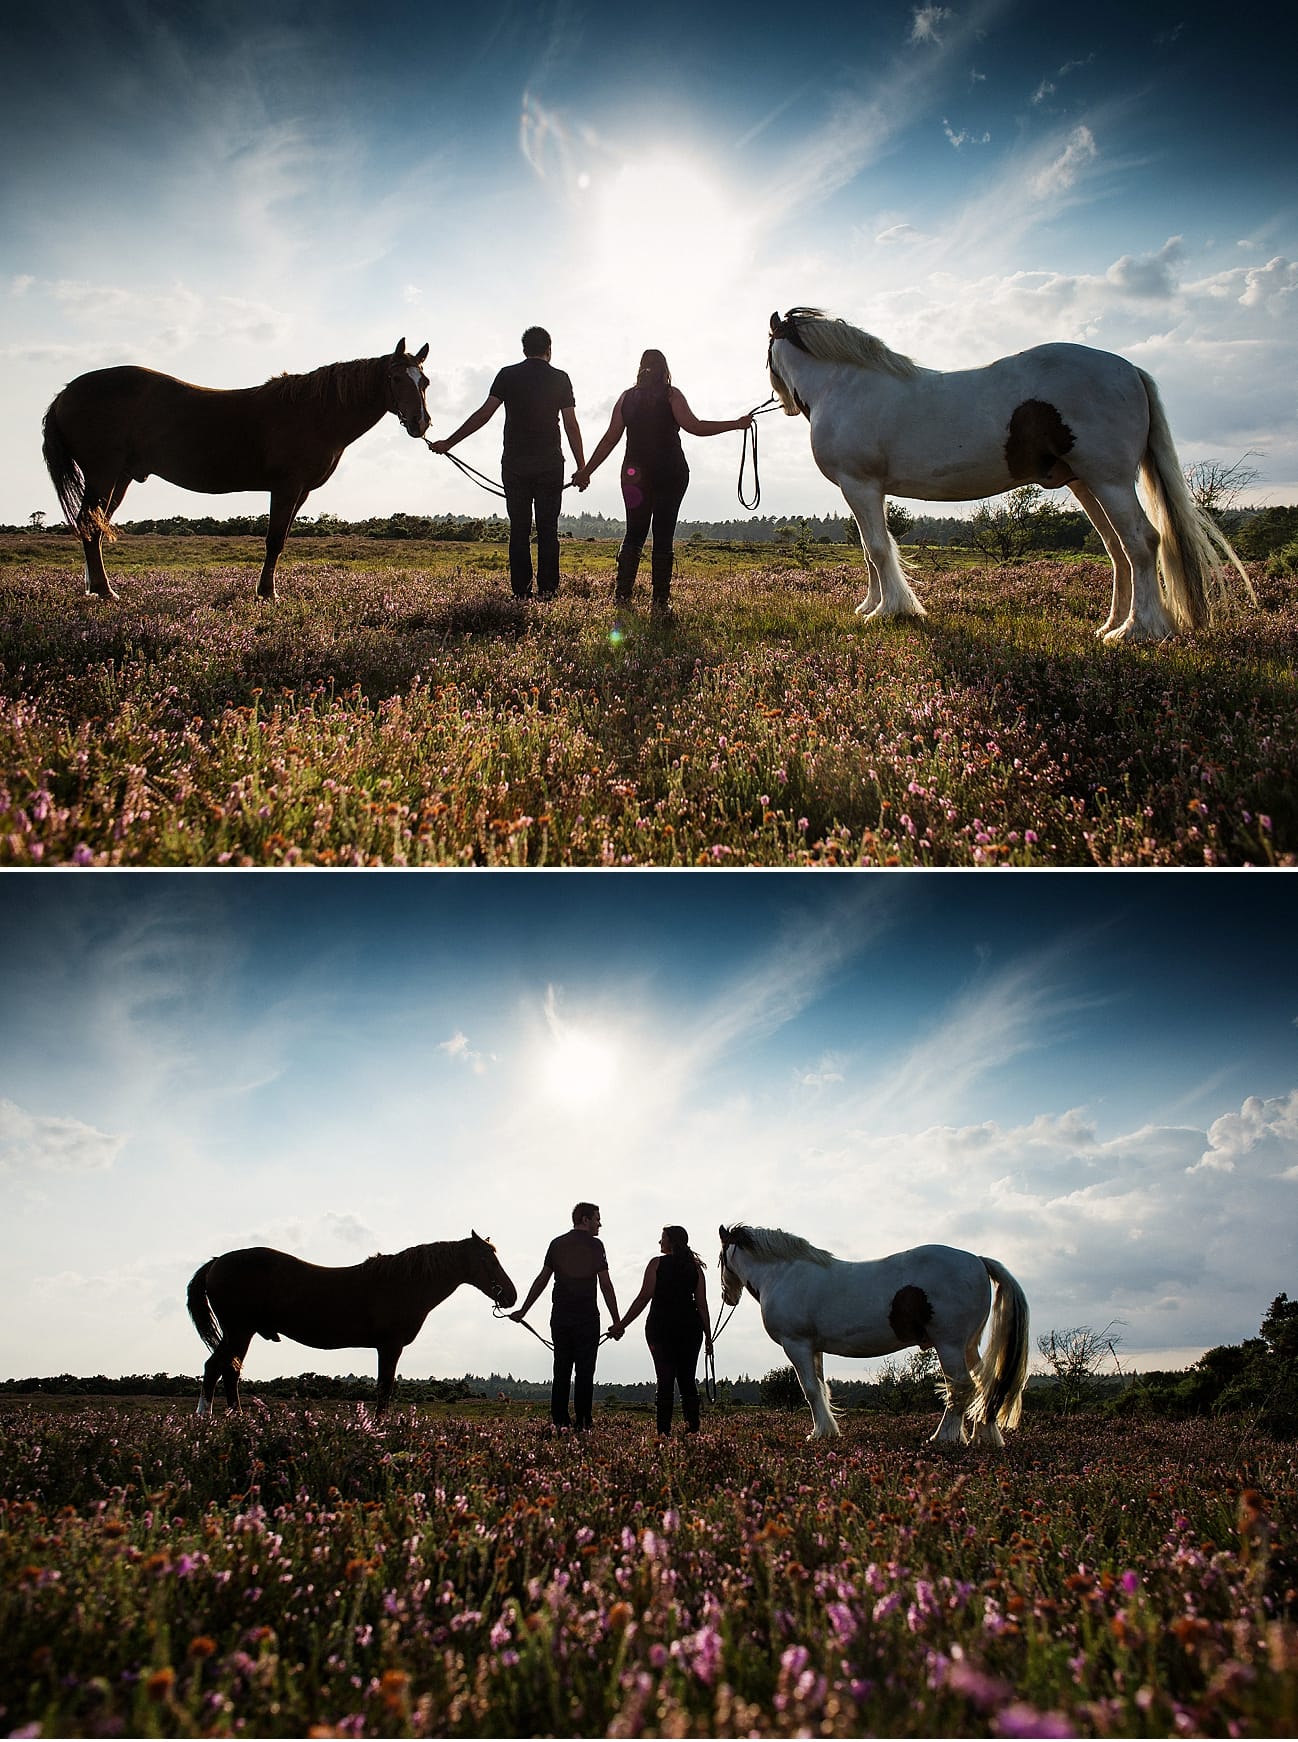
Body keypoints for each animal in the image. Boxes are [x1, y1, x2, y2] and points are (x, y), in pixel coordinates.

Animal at [42, 338, 432, 600]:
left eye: (424, 382)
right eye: (396, 379)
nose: (420, 423)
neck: (315, 414)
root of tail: (64, 394)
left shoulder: (301, 492)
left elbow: (281, 540)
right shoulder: (286, 487)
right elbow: (274, 540)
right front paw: (267, 593)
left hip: (119, 477)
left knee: (92, 527)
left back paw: (97, 588)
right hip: (103, 474)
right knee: (89, 526)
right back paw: (104, 591)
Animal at [186, 1231, 516, 1415]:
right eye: (487, 1259)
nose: (511, 1295)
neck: (404, 1284)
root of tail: (216, 1263)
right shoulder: (389, 1347)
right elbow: (384, 1390)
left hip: (243, 1333)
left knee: (228, 1372)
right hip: (239, 1330)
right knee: (214, 1368)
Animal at [718, 1223, 1030, 1445]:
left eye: (720, 1258)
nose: (726, 1297)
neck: (782, 1274)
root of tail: (978, 1260)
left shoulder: (796, 1344)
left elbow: (809, 1390)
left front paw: (818, 1434)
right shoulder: (814, 1348)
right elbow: (821, 1388)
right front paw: (828, 1430)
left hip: (950, 1345)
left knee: (960, 1386)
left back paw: (943, 1437)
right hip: (968, 1346)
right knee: (986, 1383)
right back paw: (984, 1436)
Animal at [767, 308, 1255, 642]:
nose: (782, 404)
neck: (845, 386)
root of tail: (1130, 369)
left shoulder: (860, 485)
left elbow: (877, 550)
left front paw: (889, 612)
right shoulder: (866, 491)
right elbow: (873, 552)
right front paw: (871, 606)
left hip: (1110, 480)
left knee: (1141, 541)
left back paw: (1137, 630)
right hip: (1086, 483)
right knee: (1118, 549)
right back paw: (1110, 624)